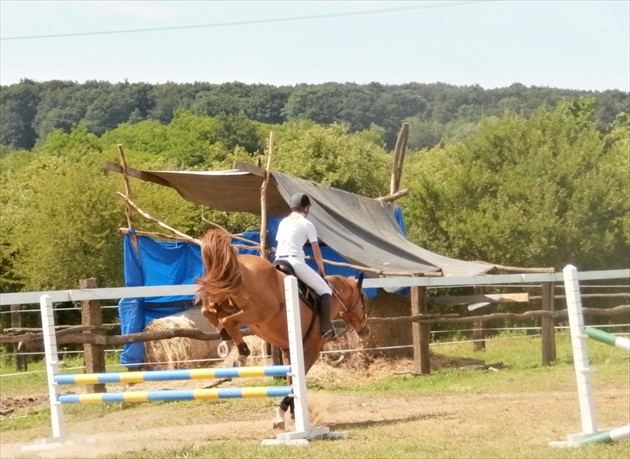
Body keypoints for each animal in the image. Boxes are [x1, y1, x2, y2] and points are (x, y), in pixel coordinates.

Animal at [198, 230, 370, 432]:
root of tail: (240, 264)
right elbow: (296, 383)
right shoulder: (311, 350)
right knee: (229, 321)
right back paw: (241, 353)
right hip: (258, 312)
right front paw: (282, 415)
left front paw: (293, 414)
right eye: (364, 300)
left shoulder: (288, 350)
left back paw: (225, 340)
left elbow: (290, 380)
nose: (365, 330)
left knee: (209, 311)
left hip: (224, 299)